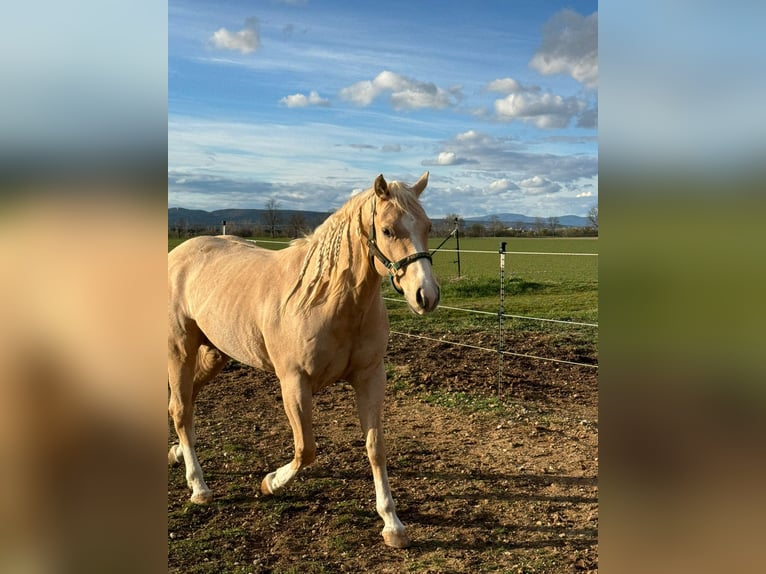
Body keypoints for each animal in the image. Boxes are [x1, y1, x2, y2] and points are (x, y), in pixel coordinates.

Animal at [170, 173, 440, 552]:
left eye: (428, 226)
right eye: (388, 230)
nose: (426, 296)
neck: (325, 299)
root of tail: (177, 254)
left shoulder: (370, 378)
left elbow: (375, 447)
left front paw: (392, 524)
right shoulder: (294, 383)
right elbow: (306, 449)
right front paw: (269, 482)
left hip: (214, 354)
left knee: (184, 404)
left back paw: (178, 454)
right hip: (179, 348)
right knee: (181, 409)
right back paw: (199, 486)